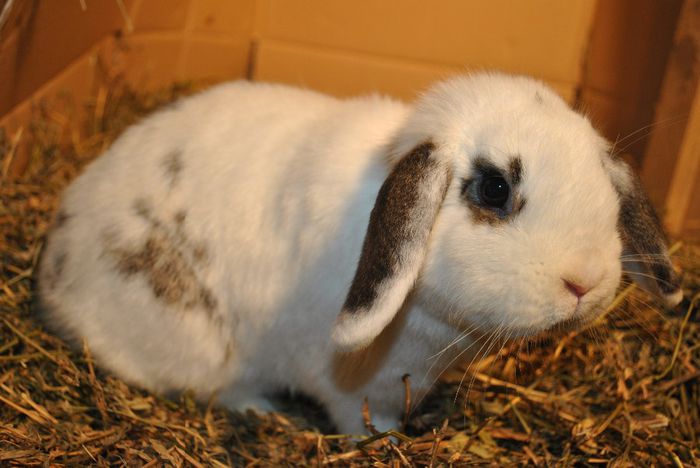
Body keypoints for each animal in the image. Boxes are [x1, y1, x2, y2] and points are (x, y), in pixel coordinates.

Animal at [35, 73, 680, 436]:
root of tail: (53, 277)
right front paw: (388, 442)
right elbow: (360, 419)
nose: (586, 283)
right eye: (495, 188)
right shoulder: (350, 388)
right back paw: (262, 411)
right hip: (200, 349)